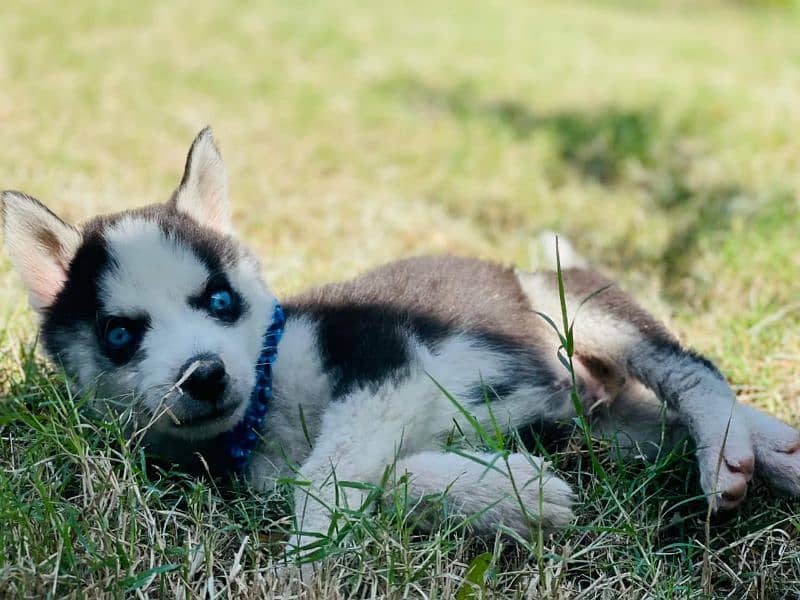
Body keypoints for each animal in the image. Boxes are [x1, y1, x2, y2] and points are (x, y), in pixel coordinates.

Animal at [1, 129, 800, 564]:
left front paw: (304, 560)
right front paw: (510, 493)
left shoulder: (388, 358)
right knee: (659, 418)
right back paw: (774, 449)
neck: (269, 398)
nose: (203, 375)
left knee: (692, 372)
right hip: (612, 427)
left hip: (576, 308)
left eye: (220, 301)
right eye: (119, 334)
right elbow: (381, 475)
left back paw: (728, 449)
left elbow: (329, 470)